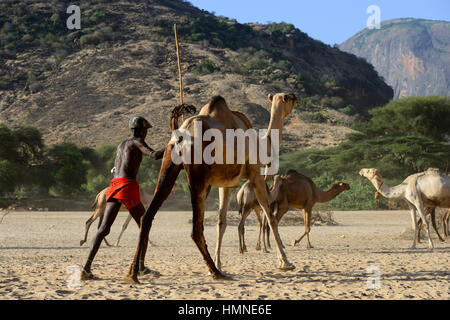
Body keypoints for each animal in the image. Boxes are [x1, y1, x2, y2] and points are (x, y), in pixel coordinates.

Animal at [125, 92, 298, 282]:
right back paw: (215, 272)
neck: (263, 145)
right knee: (195, 228)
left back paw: (132, 273)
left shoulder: (225, 184)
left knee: (147, 216)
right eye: (288, 98)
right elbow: (271, 218)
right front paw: (286, 262)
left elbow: (221, 222)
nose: (295, 97)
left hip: (168, 164)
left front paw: (219, 262)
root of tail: (181, 136)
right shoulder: (255, 175)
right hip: (199, 177)